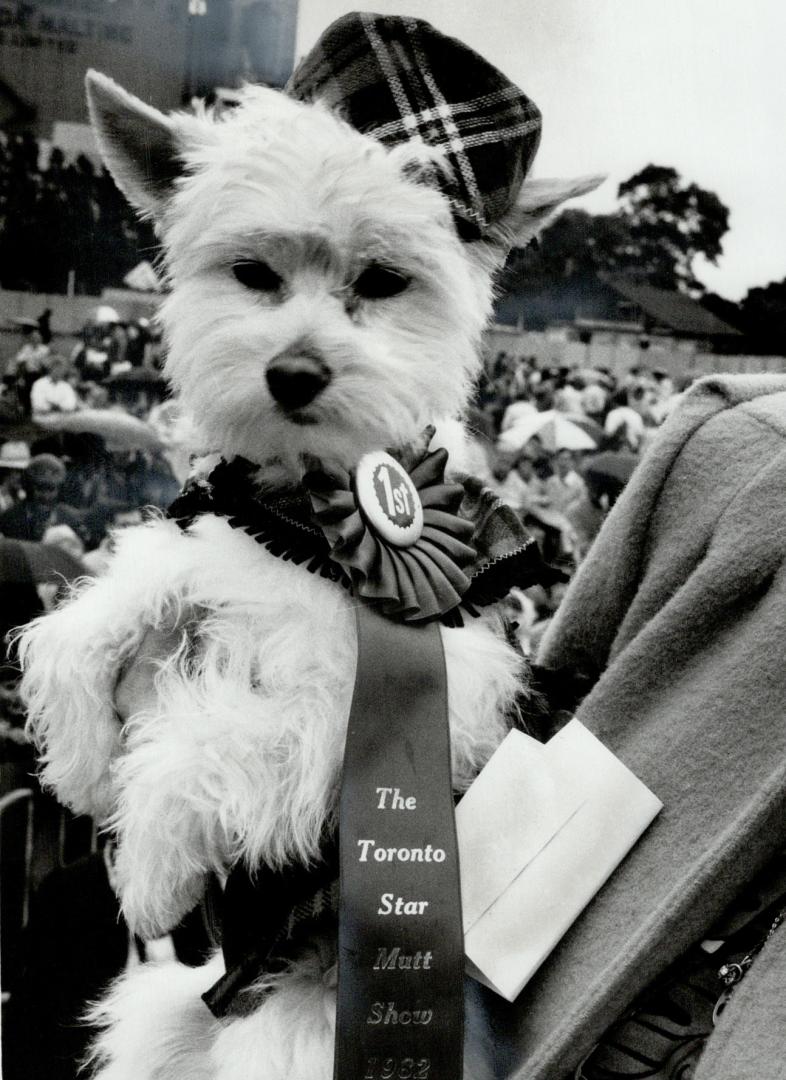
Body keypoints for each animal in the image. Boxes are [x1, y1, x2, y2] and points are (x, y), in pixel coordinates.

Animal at [18, 10, 600, 1080]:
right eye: (253, 273)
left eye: (383, 280)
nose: (293, 372)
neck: (307, 512)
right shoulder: (209, 543)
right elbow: (87, 624)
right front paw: (78, 761)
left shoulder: (390, 707)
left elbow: (219, 735)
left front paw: (150, 867)